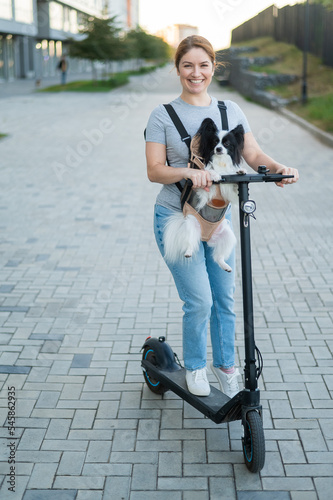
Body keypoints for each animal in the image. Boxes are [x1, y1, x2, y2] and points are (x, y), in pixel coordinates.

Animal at [163, 118, 244, 272]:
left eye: (226, 144)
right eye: (214, 142)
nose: (218, 149)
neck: (220, 162)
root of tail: (206, 238)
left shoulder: (228, 191)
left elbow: (234, 189)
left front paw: (241, 172)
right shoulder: (203, 188)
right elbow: (208, 172)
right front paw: (215, 174)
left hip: (228, 236)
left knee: (218, 257)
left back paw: (225, 266)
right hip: (190, 226)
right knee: (190, 243)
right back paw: (188, 252)